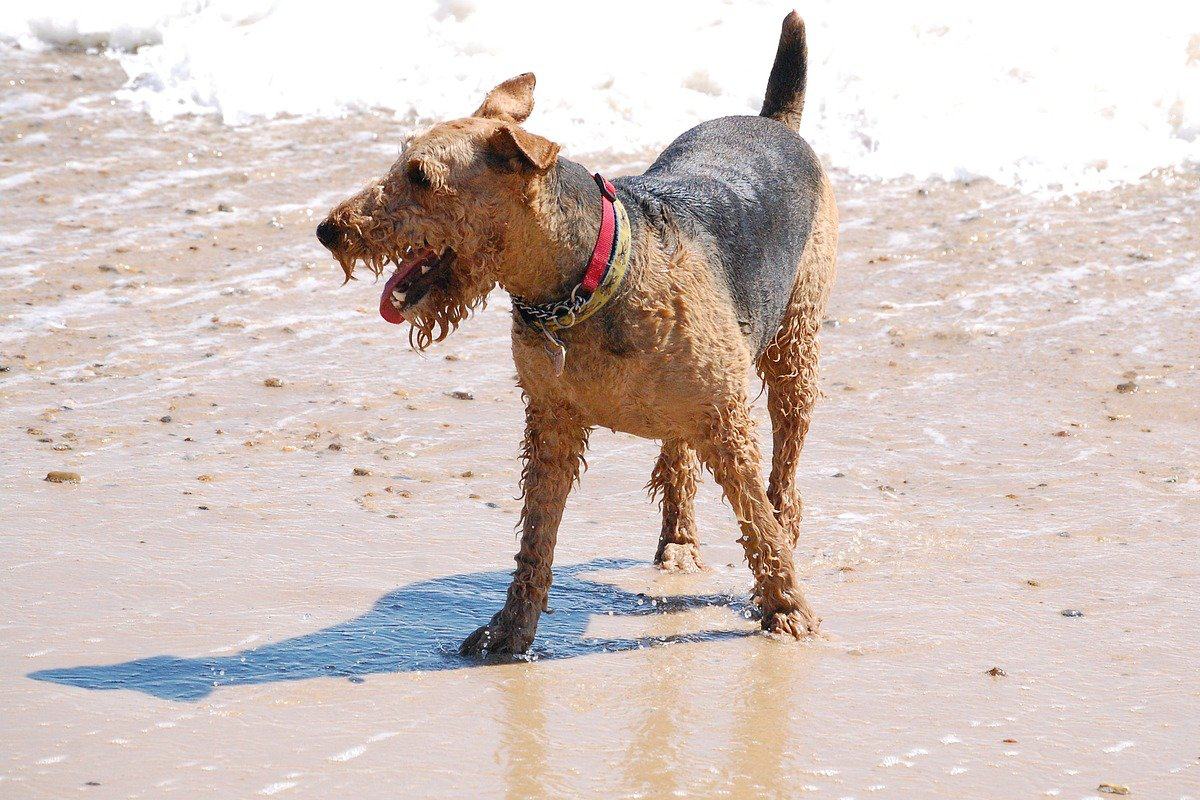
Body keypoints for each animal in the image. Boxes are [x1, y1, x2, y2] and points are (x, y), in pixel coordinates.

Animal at [321, 9, 844, 652]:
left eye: (420, 175)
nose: (329, 229)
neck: (579, 285)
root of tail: (773, 120)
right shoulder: (551, 421)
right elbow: (535, 538)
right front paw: (509, 631)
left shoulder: (725, 420)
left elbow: (758, 525)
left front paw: (788, 610)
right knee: (678, 462)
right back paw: (677, 545)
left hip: (792, 347)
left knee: (782, 479)